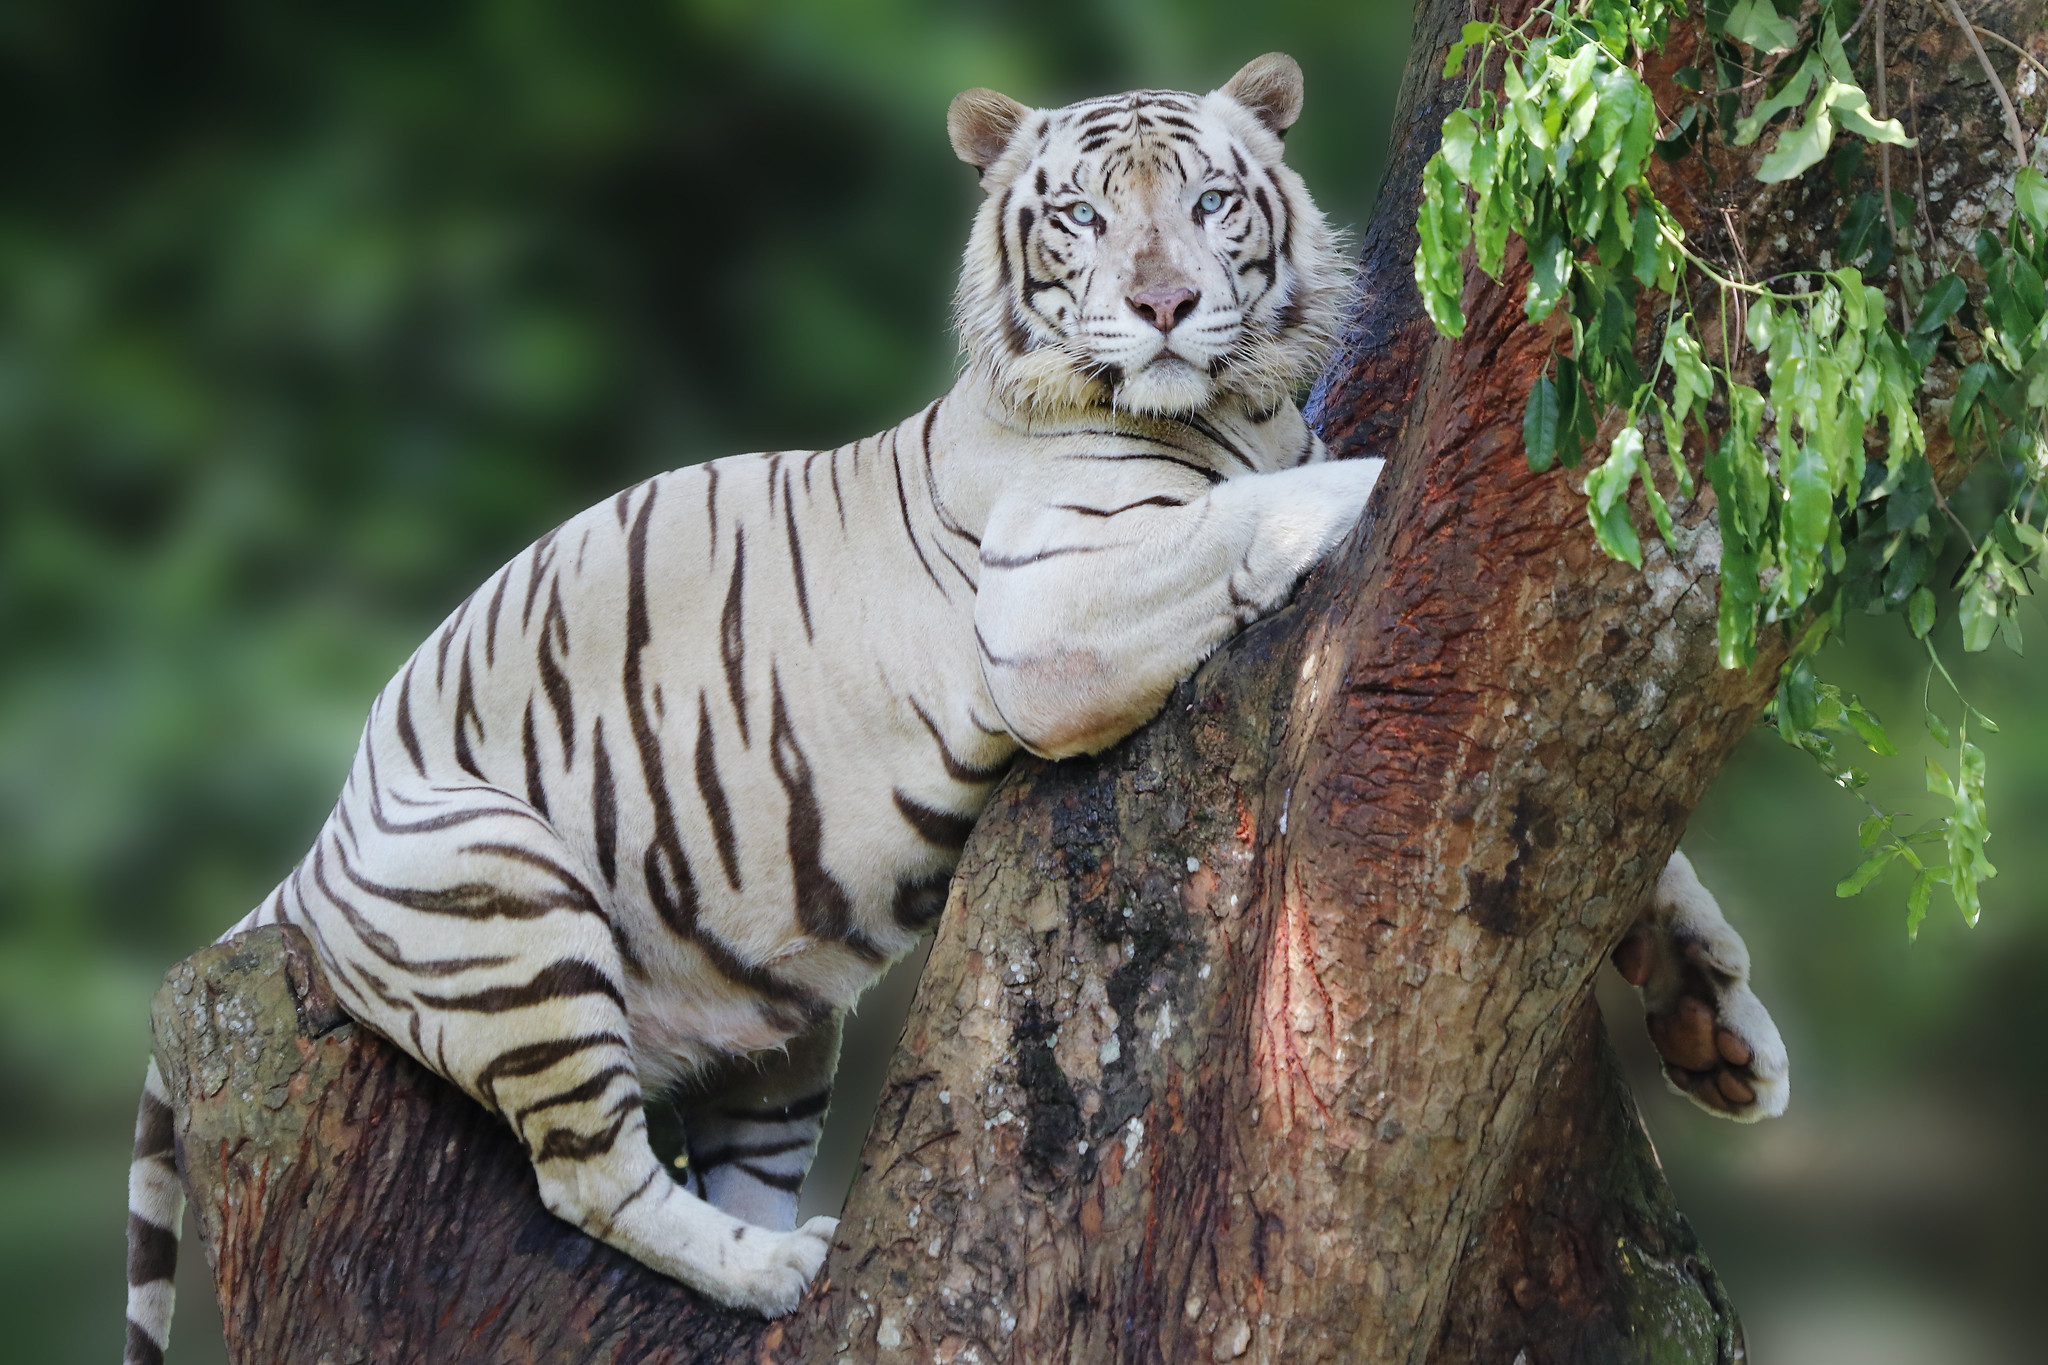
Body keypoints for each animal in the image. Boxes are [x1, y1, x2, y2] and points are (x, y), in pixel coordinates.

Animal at [123, 53, 1794, 1358]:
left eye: (1211, 203)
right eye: (1083, 214)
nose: (1165, 304)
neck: (1238, 407)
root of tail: (307, 856)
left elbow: (1638, 852)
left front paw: (1718, 1022)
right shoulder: (1051, 615)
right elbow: (1264, 513)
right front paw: (1379, 482)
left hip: (773, 1034)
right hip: (507, 897)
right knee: (584, 1173)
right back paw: (778, 1271)